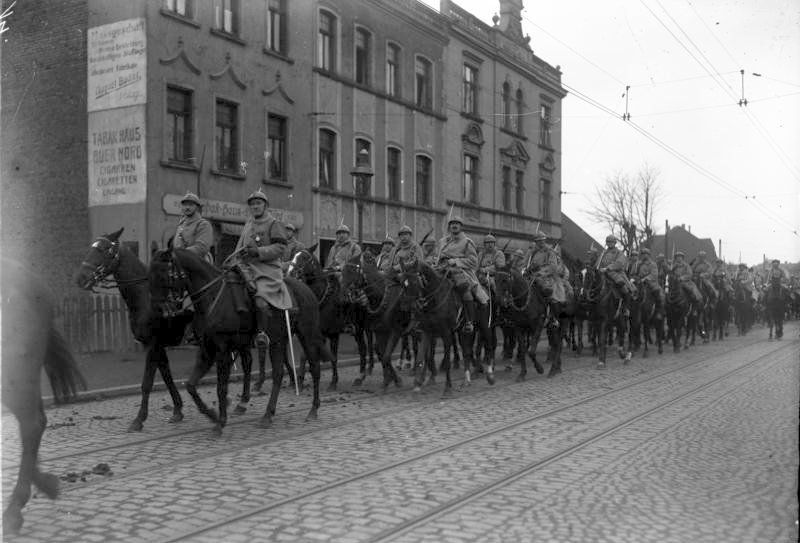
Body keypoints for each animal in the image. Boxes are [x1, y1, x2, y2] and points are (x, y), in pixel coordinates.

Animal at [74, 227, 209, 432]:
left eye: (104, 250)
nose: (81, 278)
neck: (145, 299)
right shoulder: (155, 345)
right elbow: (166, 376)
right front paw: (177, 410)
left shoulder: (152, 345)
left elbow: (147, 383)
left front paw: (138, 420)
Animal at [148, 249, 332, 436]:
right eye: (151, 274)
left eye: (164, 274)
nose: (158, 309)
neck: (213, 298)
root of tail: (307, 290)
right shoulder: (207, 349)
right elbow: (191, 385)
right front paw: (212, 415)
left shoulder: (222, 350)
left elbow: (221, 387)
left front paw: (220, 421)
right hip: (278, 341)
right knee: (278, 374)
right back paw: (267, 414)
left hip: (306, 336)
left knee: (314, 368)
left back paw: (312, 410)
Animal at [398, 260, 494, 396]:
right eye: (402, 282)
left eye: (415, 282)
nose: (405, 305)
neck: (435, 299)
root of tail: (484, 287)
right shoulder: (427, 332)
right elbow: (422, 357)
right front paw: (418, 382)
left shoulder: (446, 333)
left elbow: (447, 359)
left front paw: (447, 387)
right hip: (463, 331)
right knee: (467, 351)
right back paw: (466, 380)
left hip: (484, 325)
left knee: (489, 346)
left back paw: (490, 375)